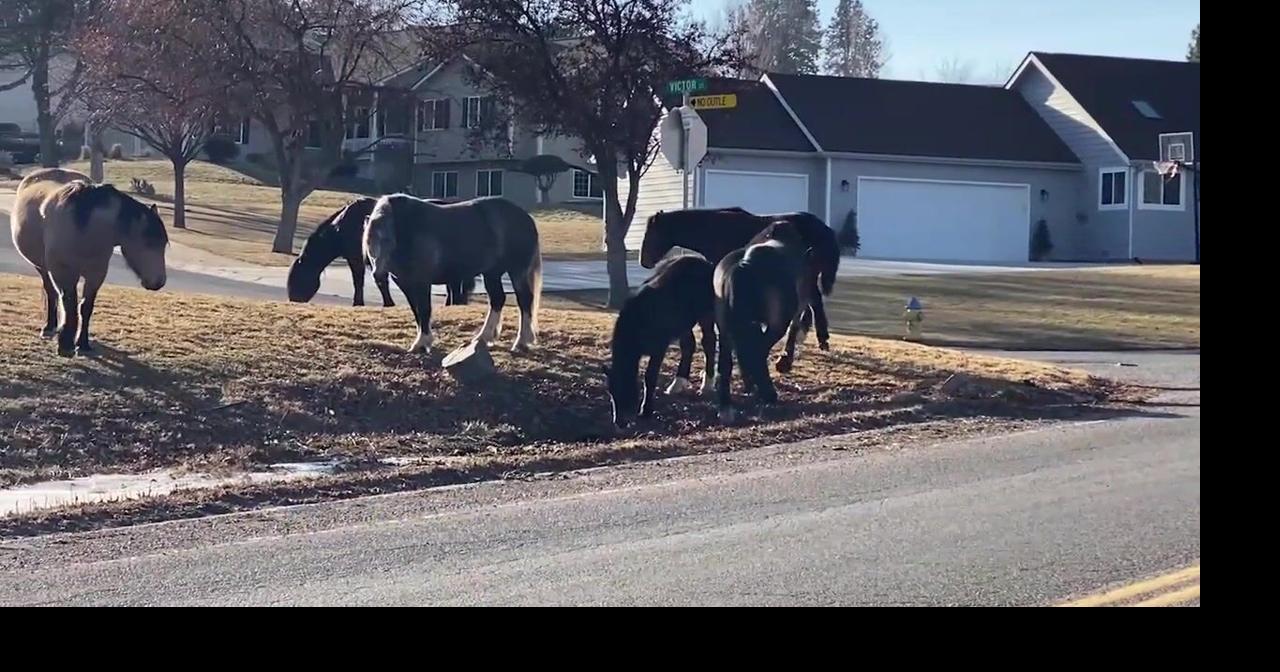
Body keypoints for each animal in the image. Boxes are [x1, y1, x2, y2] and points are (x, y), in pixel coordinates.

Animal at [11, 168, 168, 357]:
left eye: (163, 243)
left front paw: (82, 343)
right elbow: (69, 305)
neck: (85, 227)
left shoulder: (96, 275)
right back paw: (49, 327)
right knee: (51, 293)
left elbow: (85, 307)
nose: (159, 282)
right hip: (42, 268)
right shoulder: (62, 272)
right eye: (147, 242)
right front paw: (66, 344)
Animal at [287, 197, 476, 307]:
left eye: (297, 275)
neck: (343, 227)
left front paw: (375, 303)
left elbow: (366, 281)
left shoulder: (358, 259)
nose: (293, 298)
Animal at [363, 194, 543, 353]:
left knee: (524, 300)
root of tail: (526, 217)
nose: (378, 274)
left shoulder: (422, 282)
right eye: (368, 242)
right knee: (497, 299)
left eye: (388, 240)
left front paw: (422, 343)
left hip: (517, 271)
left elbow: (424, 310)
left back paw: (521, 342)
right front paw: (421, 342)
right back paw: (483, 337)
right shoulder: (406, 284)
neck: (407, 231)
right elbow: (416, 312)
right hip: (492, 273)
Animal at [601, 255, 717, 429]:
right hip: (683, 324)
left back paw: (707, 385)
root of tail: (704, 262)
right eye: (611, 392)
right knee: (689, 345)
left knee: (709, 341)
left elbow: (650, 377)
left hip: (706, 314)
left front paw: (646, 411)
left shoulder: (659, 347)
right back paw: (677, 384)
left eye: (625, 386)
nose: (619, 423)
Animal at [712, 221, 812, 422]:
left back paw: (726, 405)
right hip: (775, 323)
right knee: (756, 352)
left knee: (728, 361)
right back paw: (767, 393)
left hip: (725, 326)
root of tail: (744, 264)